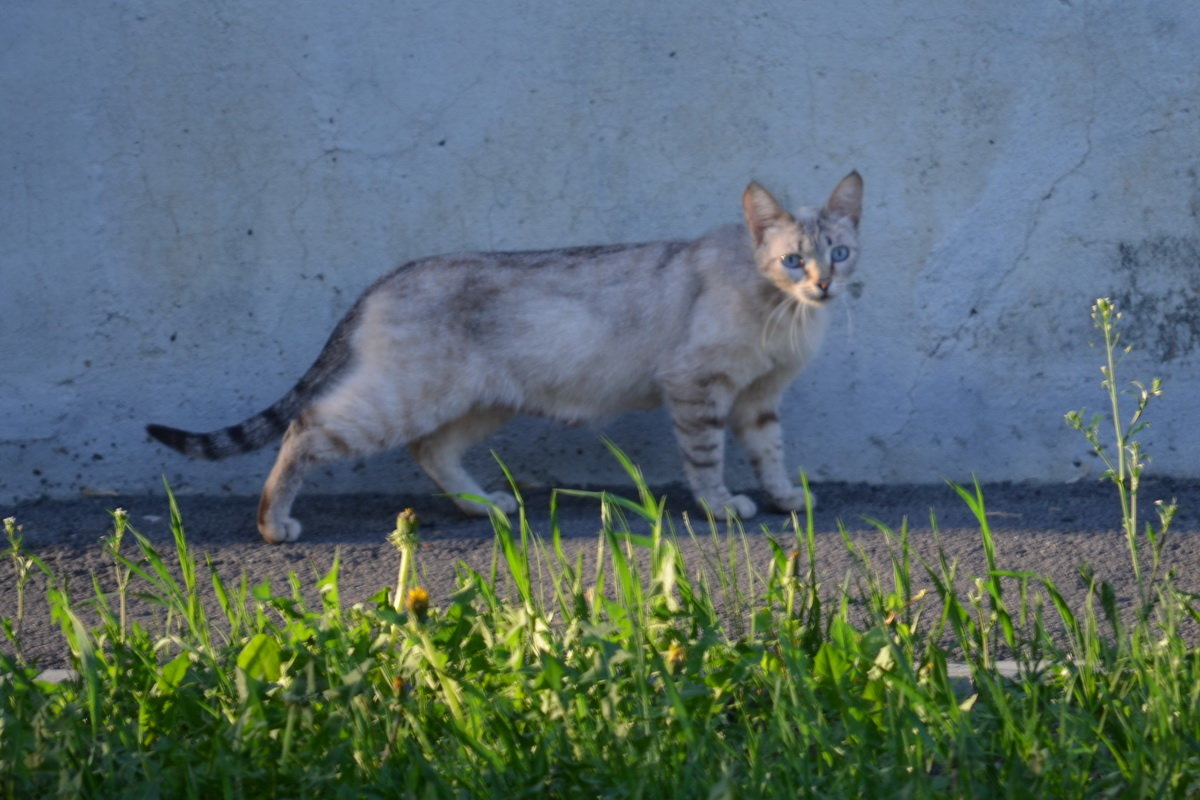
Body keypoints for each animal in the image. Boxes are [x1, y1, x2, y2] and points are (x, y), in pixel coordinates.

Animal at [147, 172, 864, 542]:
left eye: (841, 252)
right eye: (792, 260)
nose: (825, 284)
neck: (787, 313)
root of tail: (386, 278)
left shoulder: (759, 399)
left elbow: (770, 453)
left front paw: (783, 498)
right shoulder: (698, 386)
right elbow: (707, 459)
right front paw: (721, 508)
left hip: (479, 403)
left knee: (429, 451)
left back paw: (483, 507)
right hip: (404, 399)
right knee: (305, 427)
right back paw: (274, 524)